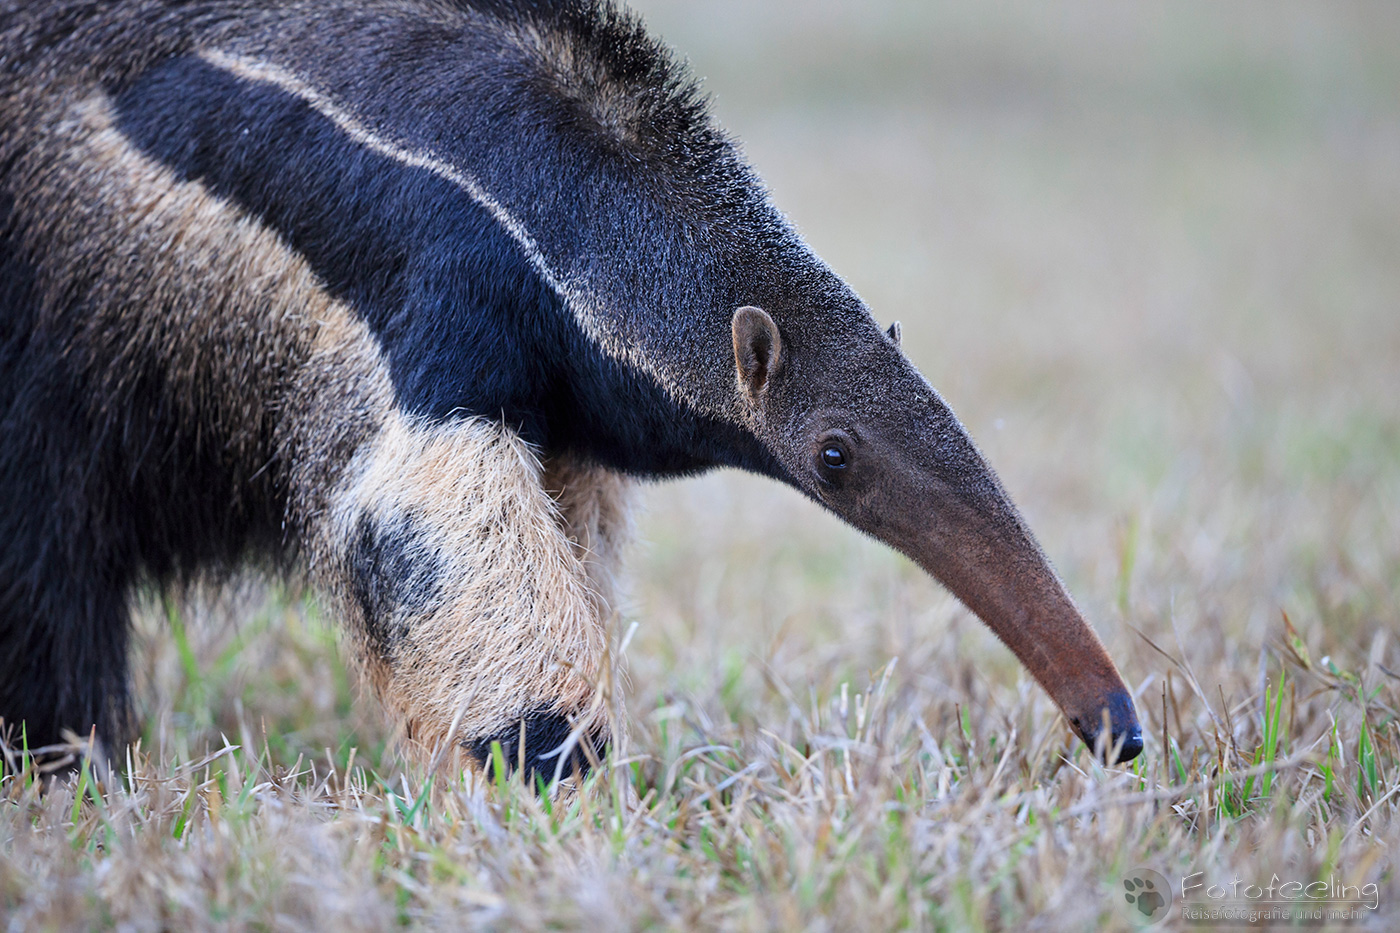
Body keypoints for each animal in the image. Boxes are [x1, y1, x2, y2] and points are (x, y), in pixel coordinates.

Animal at [0, 0, 1141, 783]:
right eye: (834, 455)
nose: (1116, 726)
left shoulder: (552, 389)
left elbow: (563, 521)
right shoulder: (419, 273)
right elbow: (424, 524)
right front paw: (541, 762)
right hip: (56, 333)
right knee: (45, 558)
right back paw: (62, 752)